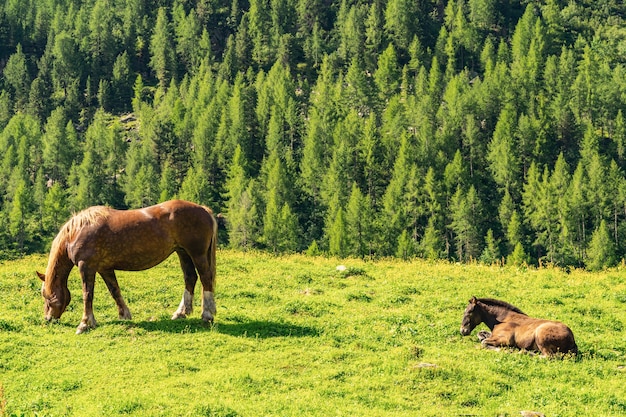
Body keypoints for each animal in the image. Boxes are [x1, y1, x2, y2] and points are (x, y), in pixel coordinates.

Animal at [37, 200, 217, 334]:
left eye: (47, 297)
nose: (48, 319)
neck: (76, 232)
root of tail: (204, 209)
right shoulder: (105, 268)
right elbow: (115, 291)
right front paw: (124, 314)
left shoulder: (86, 267)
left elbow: (87, 295)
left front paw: (85, 323)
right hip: (183, 252)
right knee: (190, 278)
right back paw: (181, 312)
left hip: (197, 253)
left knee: (205, 278)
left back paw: (207, 315)